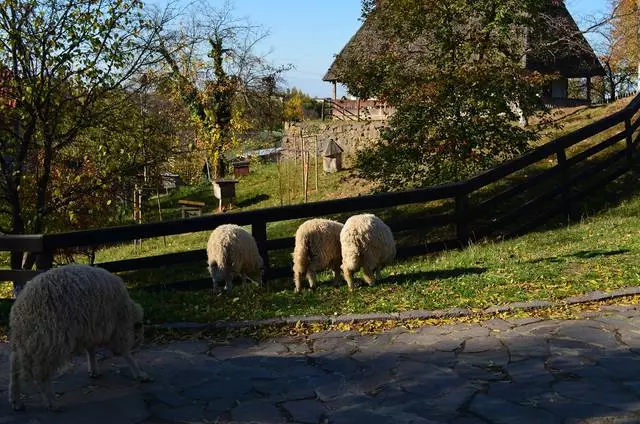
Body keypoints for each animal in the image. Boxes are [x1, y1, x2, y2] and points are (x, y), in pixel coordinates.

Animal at [8, 264, 150, 410]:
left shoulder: (90, 328)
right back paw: (52, 402)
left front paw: (93, 370)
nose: (139, 344)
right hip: (50, 340)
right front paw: (139, 373)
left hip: (27, 341)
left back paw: (16, 400)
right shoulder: (116, 327)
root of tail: (20, 310)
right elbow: (125, 352)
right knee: (41, 374)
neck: (126, 311)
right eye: (138, 334)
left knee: (15, 366)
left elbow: (91, 349)